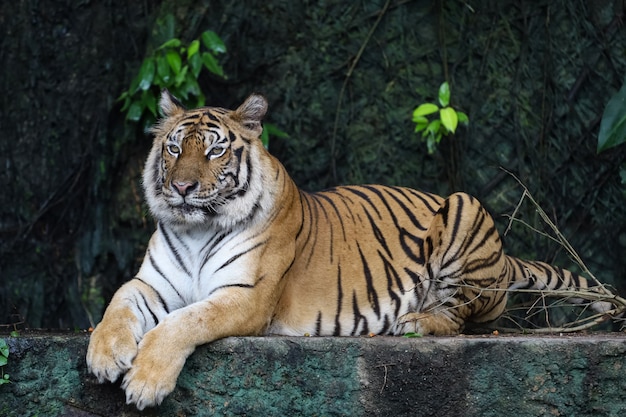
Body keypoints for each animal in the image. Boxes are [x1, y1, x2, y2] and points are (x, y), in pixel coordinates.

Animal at [85, 90, 616, 410]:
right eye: (175, 148)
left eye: (215, 150)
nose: (182, 188)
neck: (196, 230)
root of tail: (505, 262)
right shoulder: (152, 283)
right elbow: (117, 303)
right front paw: (105, 355)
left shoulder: (246, 296)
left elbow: (184, 322)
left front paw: (145, 382)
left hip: (464, 208)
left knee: (462, 317)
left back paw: (416, 322)